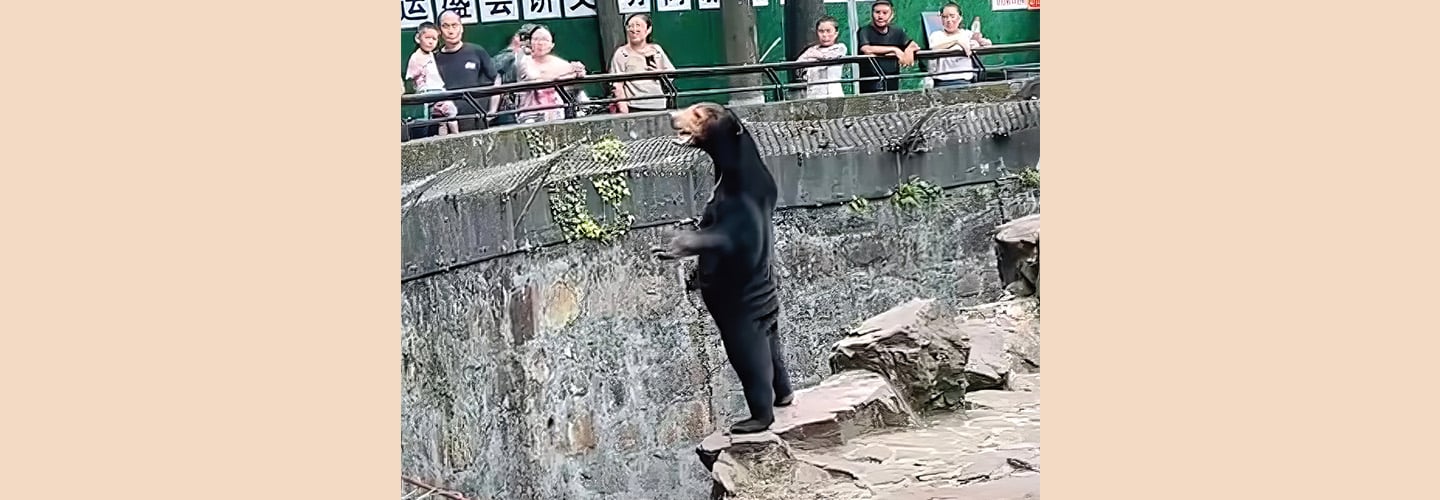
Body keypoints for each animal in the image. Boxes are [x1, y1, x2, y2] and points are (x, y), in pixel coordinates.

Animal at [656, 103, 800, 435]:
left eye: (698, 114)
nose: (671, 115)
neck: (730, 172)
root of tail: (766, 317)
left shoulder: (740, 212)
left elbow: (717, 238)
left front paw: (670, 247)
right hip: (770, 328)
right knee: (777, 357)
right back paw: (785, 397)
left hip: (741, 326)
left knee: (754, 366)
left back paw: (752, 422)